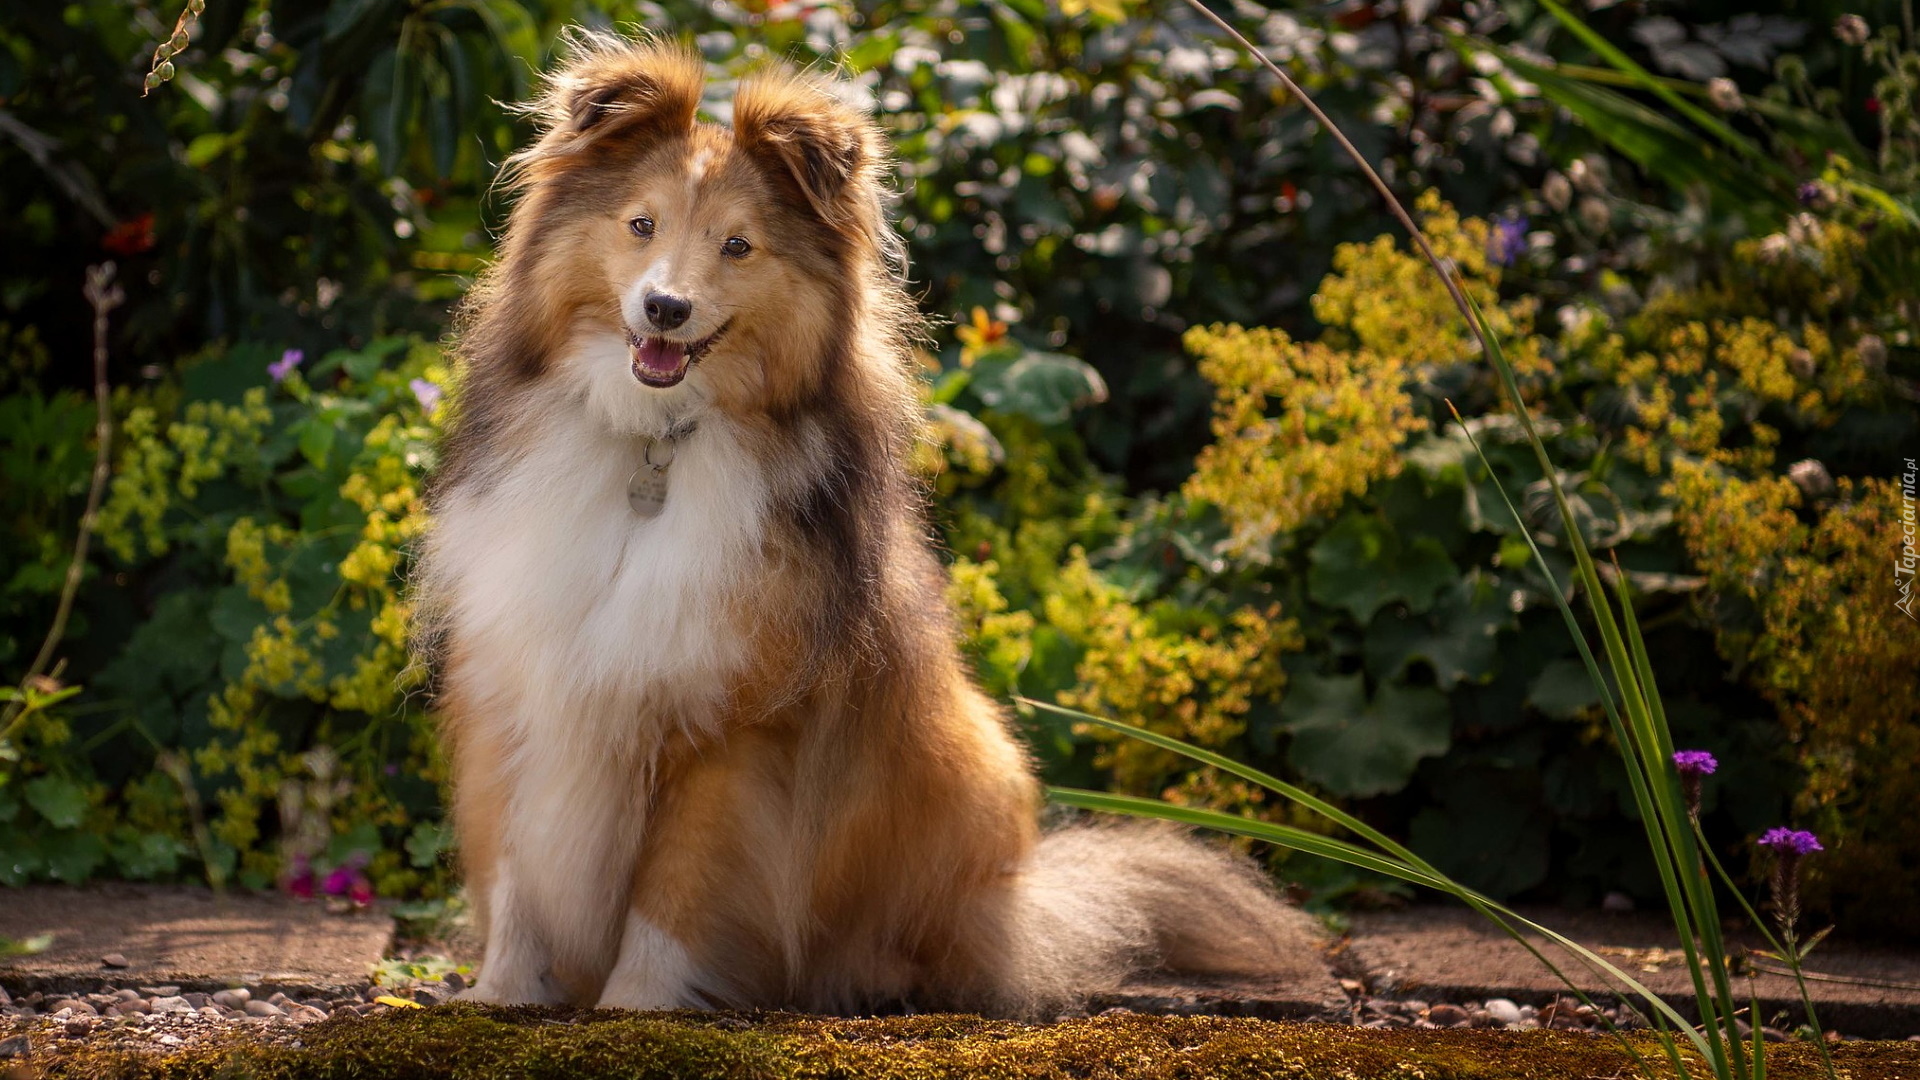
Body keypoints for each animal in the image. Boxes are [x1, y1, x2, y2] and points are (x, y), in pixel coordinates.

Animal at [418, 31, 1320, 1006]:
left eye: (738, 245)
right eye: (641, 224)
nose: (666, 308)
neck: (653, 450)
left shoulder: (731, 728)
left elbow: (674, 894)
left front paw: (636, 1009)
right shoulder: (521, 683)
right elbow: (517, 870)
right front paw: (499, 997)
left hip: (970, 770)